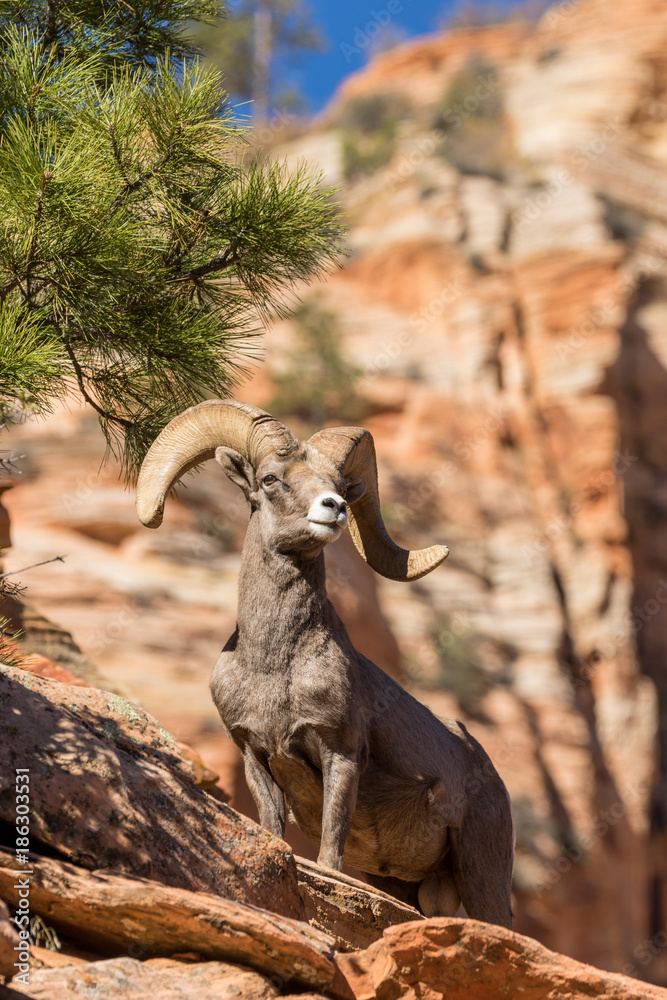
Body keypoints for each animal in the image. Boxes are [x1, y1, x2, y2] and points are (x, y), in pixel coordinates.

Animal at [136, 399, 514, 927]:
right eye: (270, 478)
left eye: (337, 482)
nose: (332, 508)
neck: (274, 668)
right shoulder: (255, 756)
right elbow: (273, 828)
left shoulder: (341, 752)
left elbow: (332, 848)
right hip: (413, 886)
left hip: (482, 877)